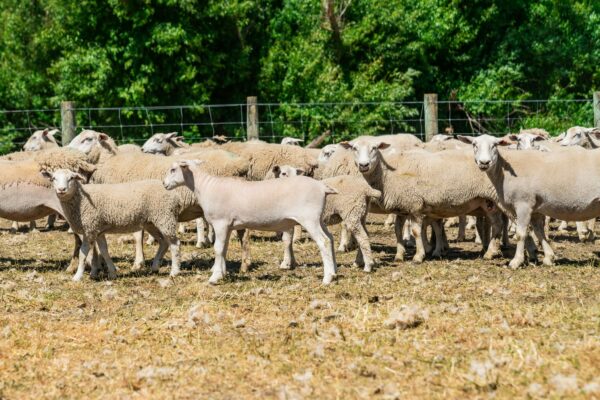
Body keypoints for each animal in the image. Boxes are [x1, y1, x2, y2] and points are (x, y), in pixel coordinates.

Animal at [42, 169, 180, 282]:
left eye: (71, 178)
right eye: (53, 178)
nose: (61, 190)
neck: (80, 200)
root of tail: (169, 192)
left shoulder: (89, 228)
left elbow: (83, 253)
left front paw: (77, 276)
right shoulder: (98, 230)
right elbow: (104, 251)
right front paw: (112, 273)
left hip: (164, 217)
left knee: (174, 244)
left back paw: (174, 272)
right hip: (152, 223)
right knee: (164, 242)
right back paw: (155, 267)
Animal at [163, 159, 338, 284]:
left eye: (173, 169)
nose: (164, 184)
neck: (206, 187)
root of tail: (322, 187)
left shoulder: (220, 223)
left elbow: (218, 249)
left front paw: (214, 278)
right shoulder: (228, 226)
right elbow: (224, 249)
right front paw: (222, 274)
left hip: (309, 218)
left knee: (323, 241)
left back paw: (327, 278)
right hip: (318, 218)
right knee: (330, 239)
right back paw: (334, 273)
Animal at [454, 134, 600, 268]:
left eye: (495, 145)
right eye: (474, 144)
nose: (484, 162)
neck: (503, 173)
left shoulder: (523, 204)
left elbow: (521, 234)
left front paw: (516, 261)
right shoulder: (535, 207)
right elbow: (539, 232)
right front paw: (549, 258)